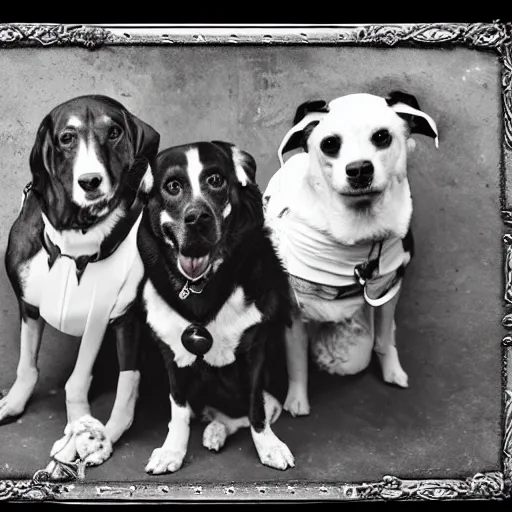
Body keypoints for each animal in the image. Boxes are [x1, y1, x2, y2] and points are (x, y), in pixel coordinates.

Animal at [2, 96, 160, 476]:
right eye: (66, 137)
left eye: (114, 132)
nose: (91, 181)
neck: (75, 241)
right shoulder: (29, 308)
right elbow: (27, 364)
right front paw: (14, 402)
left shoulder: (111, 321)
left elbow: (86, 383)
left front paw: (81, 437)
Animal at [138, 142, 294, 474]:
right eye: (172, 186)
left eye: (215, 180)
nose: (198, 217)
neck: (201, 288)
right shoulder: (171, 355)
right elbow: (178, 410)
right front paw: (172, 450)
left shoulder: (255, 352)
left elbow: (256, 409)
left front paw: (269, 446)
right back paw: (214, 430)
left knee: (247, 414)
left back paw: (217, 431)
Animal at [264, 91, 440, 416]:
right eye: (329, 143)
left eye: (382, 136)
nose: (359, 169)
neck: (359, 231)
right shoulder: (293, 309)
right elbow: (296, 358)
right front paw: (297, 399)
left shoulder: (388, 290)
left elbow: (384, 337)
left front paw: (392, 370)